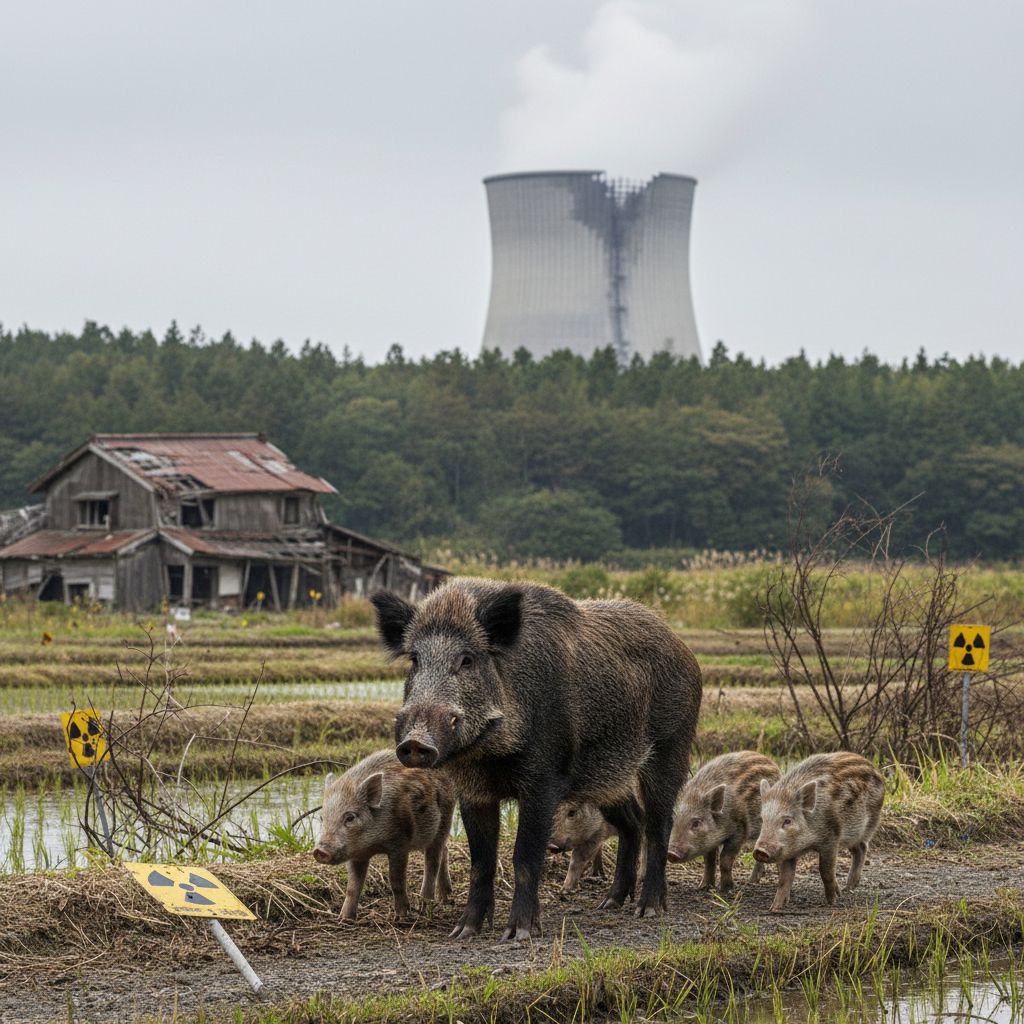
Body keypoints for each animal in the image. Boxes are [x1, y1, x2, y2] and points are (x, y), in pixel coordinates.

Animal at [312, 748, 456, 922]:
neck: (373, 846)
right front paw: (344, 919)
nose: (320, 851)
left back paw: (424, 907)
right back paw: (445, 898)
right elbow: (352, 886)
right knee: (445, 851)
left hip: (444, 821)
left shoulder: (400, 844)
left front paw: (401, 917)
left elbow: (395, 879)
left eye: (350, 817)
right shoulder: (357, 854)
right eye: (322, 817)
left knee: (433, 861)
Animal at [372, 577, 703, 940]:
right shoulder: (473, 790)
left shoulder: (544, 779)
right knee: (633, 821)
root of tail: (683, 648)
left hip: (671, 745)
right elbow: (481, 862)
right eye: (415, 659)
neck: (492, 756)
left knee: (659, 824)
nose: (415, 742)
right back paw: (610, 904)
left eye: (467, 659)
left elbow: (525, 856)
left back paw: (648, 909)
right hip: (607, 776)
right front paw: (463, 931)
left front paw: (519, 933)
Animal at [667, 751, 780, 891]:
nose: (671, 853)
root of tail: (773, 764)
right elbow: (709, 861)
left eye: (696, 823)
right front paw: (704, 887)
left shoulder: (740, 830)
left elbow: (725, 859)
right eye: (673, 821)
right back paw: (752, 882)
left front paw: (726, 889)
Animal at [753, 752, 885, 912]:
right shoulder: (789, 850)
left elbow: (825, 870)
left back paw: (848, 888)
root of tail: (874, 768)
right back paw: (847, 888)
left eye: (787, 821)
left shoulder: (831, 838)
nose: (760, 850)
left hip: (864, 826)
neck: (807, 844)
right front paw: (775, 908)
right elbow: (785, 878)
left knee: (863, 847)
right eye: (763, 819)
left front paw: (832, 901)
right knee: (858, 849)